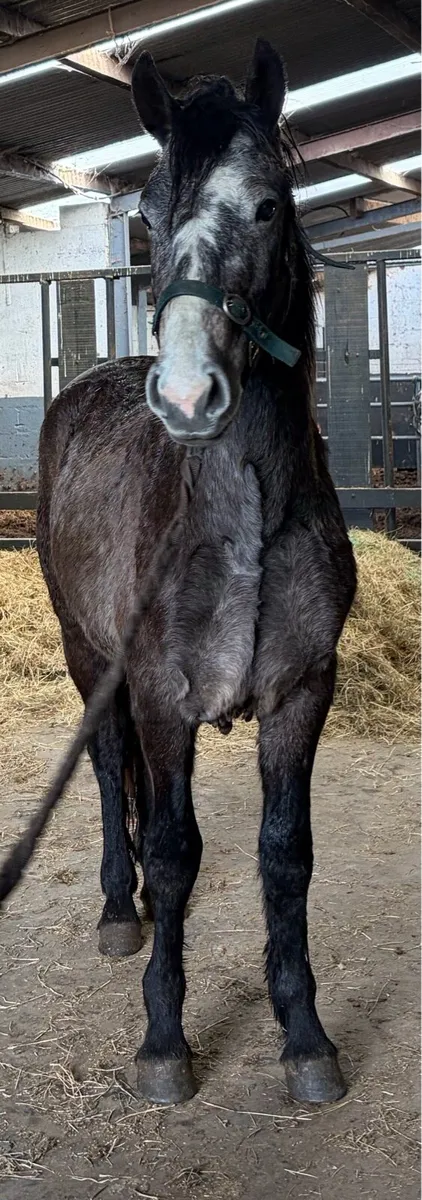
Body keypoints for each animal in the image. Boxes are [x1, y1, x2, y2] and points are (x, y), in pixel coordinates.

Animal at [36, 39, 356, 1107]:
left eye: (266, 206)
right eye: (145, 215)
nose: (183, 397)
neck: (241, 528)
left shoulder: (303, 693)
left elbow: (286, 858)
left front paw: (304, 1039)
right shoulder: (160, 698)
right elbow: (176, 854)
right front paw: (164, 1041)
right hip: (88, 657)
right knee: (107, 774)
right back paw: (115, 907)